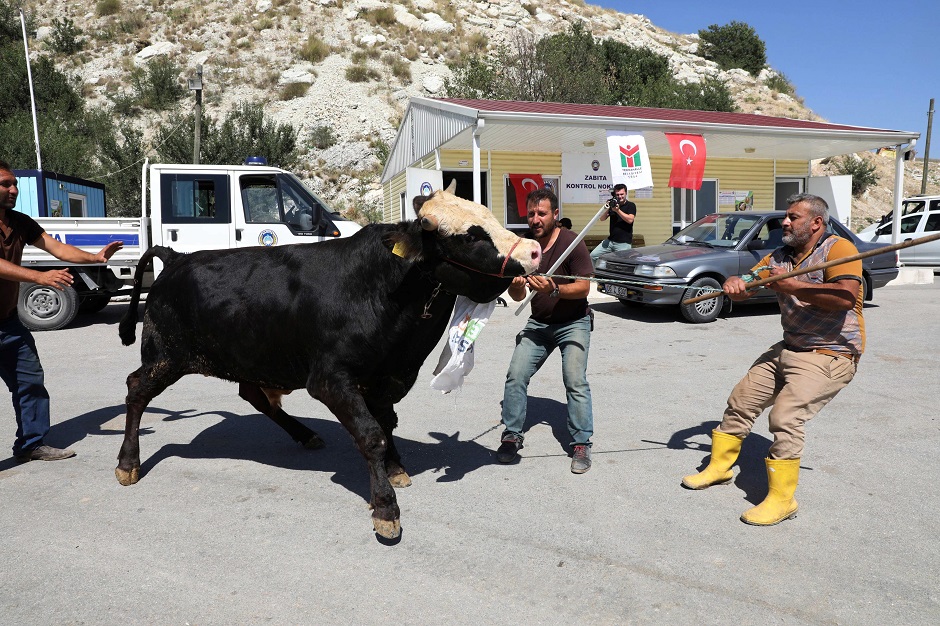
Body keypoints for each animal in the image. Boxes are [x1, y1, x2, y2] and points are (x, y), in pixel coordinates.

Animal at [114, 189, 540, 536]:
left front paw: (396, 468)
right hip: (165, 356)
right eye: (469, 236)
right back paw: (128, 462)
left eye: (489, 215)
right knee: (137, 389)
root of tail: (176, 259)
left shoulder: (384, 376)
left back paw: (304, 434)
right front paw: (386, 508)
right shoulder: (331, 379)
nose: (533, 250)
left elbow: (386, 424)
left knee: (252, 395)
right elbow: (371, 434)